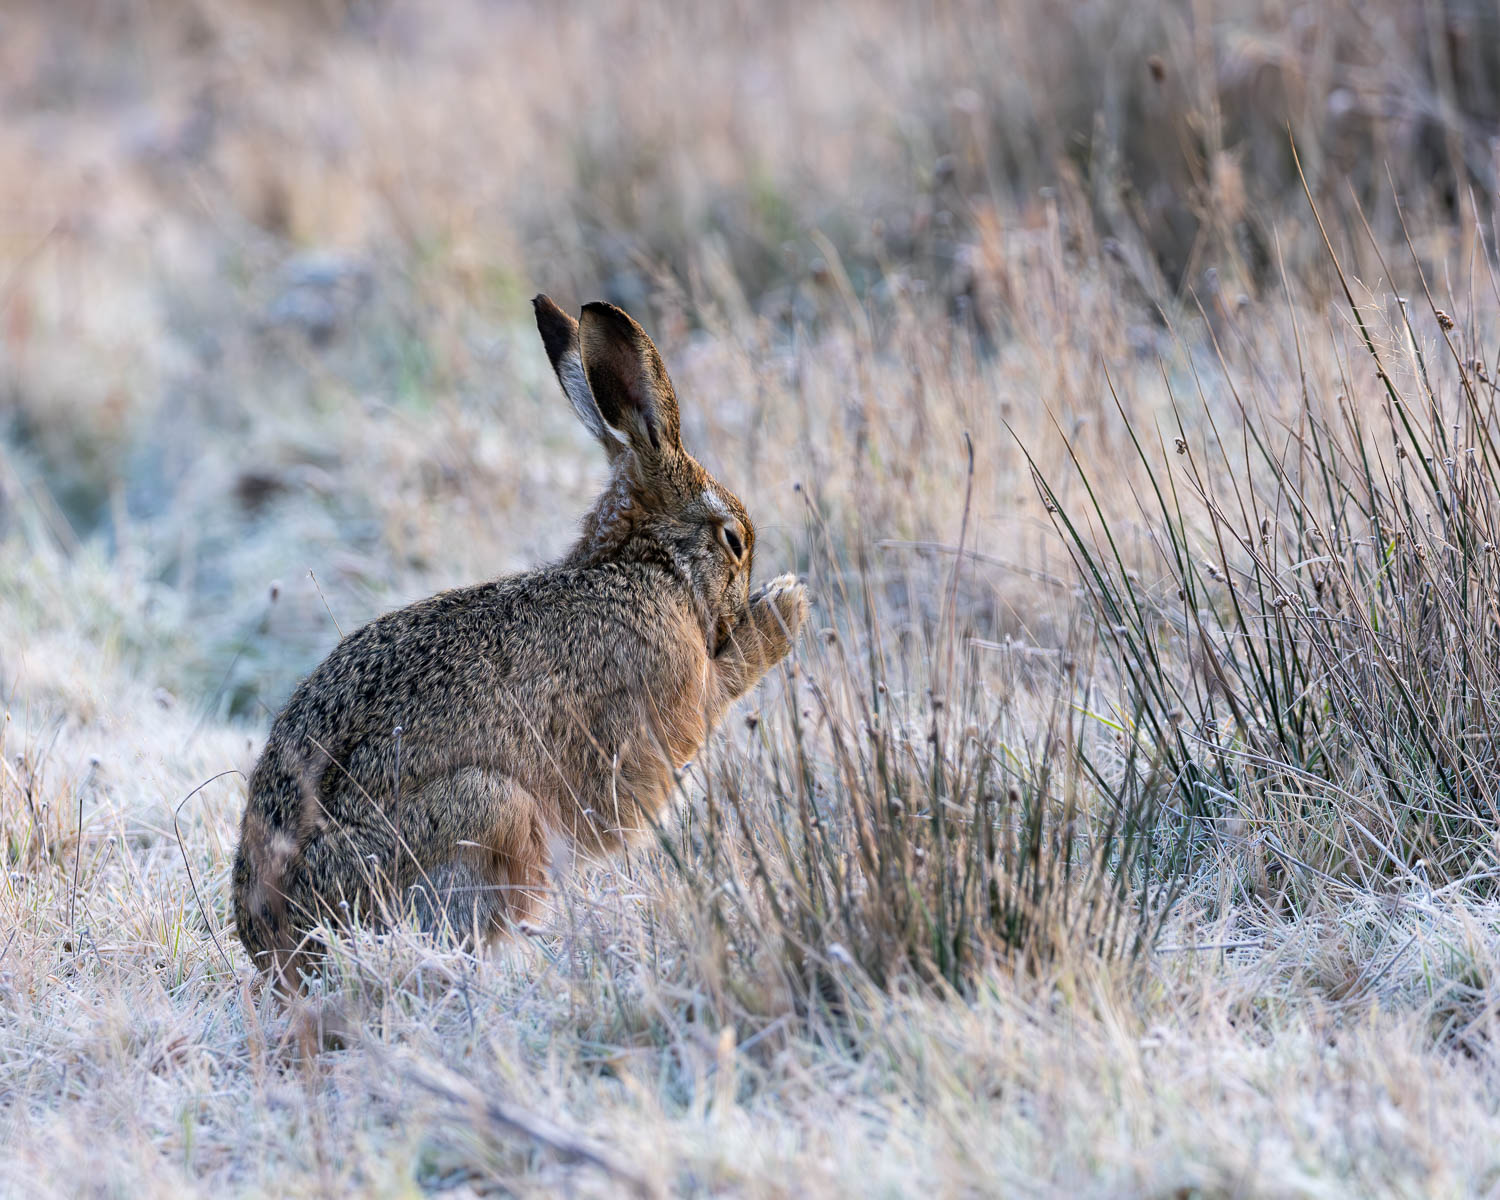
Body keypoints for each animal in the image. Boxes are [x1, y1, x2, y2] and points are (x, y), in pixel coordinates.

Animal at [230, 295, 808, 981]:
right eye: (734, 541)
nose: (735, 610)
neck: (648, 566)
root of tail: (276, 949)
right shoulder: (664, 711)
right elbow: (718, 689)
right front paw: (785, 608)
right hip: (490, 809)